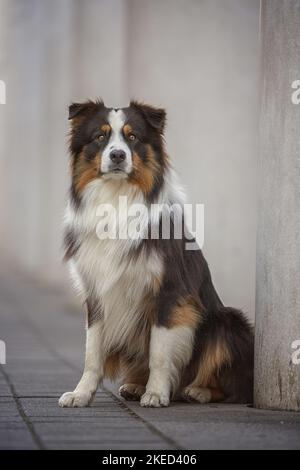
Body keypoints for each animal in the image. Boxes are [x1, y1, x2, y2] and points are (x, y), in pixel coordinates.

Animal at [58, 100, 253, 408]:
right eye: (100, 137)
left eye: (133, 137)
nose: (117, 155)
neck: (117, 199)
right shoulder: (97, 292)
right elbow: (92, 352)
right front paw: (81, 393)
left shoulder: (169, 293)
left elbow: (159, 351)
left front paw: (157, 393)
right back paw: (136, 386)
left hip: (229, 322)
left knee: (232, 387)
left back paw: (197, 391)